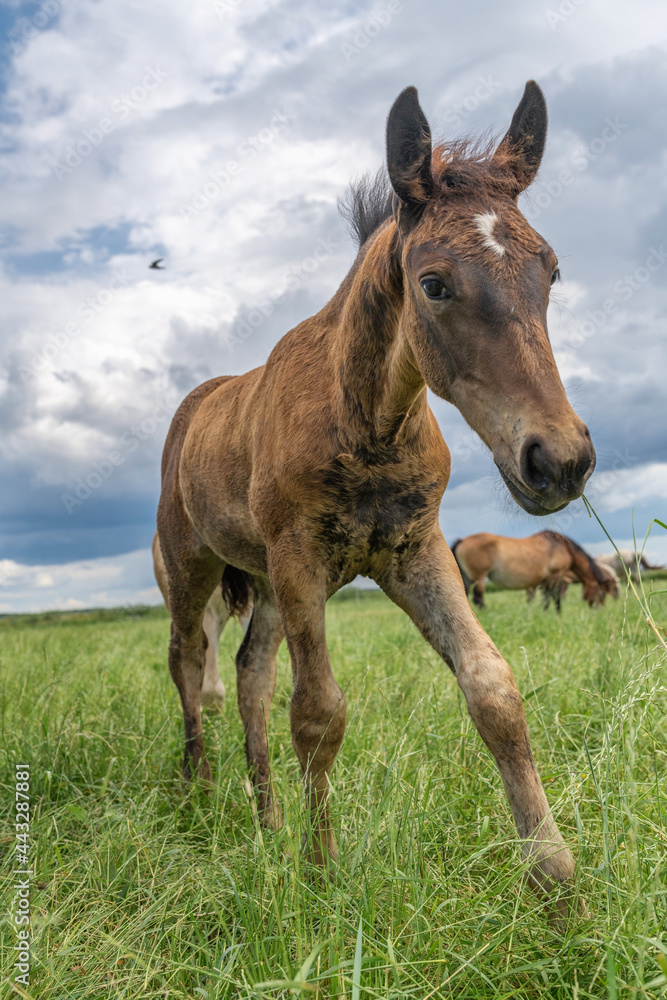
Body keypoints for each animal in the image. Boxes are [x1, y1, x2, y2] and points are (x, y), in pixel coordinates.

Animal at [452, 531, 607, 612]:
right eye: (601, 593)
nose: (600, 609)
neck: (560, 547)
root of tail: (462, 540)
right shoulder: (556, 575)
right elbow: (554, 597)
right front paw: (556, 614)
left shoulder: (547, 580)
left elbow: (547, 597)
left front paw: (546, 612)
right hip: (479, 578)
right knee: (478, 599)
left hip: (467, 578)